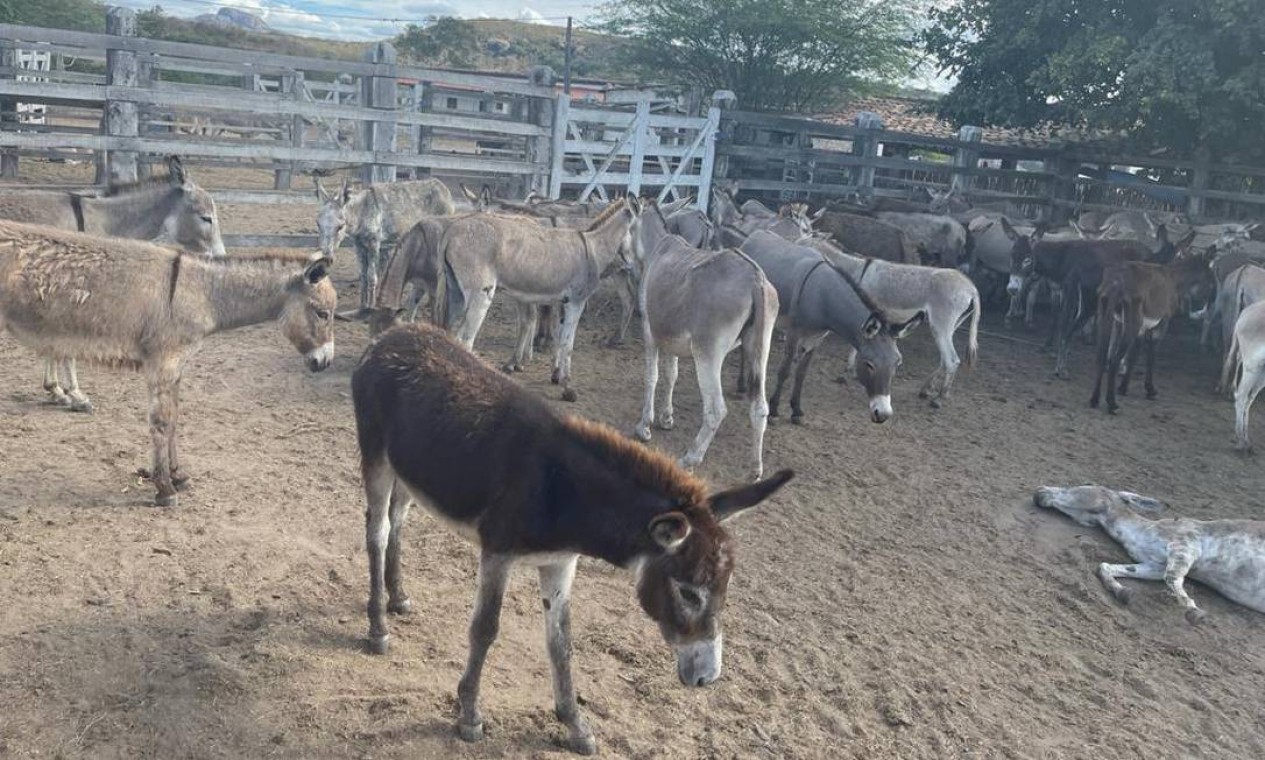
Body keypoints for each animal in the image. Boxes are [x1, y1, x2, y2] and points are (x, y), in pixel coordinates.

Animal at [354, 323, 789, 753]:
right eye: (687, 592)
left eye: (723, 590)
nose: (707, 678)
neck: (561, 490)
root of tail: (394, 333)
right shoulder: (497, 554)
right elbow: (485, 629)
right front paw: (470, 715)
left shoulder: (560, 562)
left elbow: (561, 642)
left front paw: (574, 725)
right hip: (376, 455)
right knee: (377, 532)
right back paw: (378, 627)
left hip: (410, 470)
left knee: (397, 521)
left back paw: (398, 596)